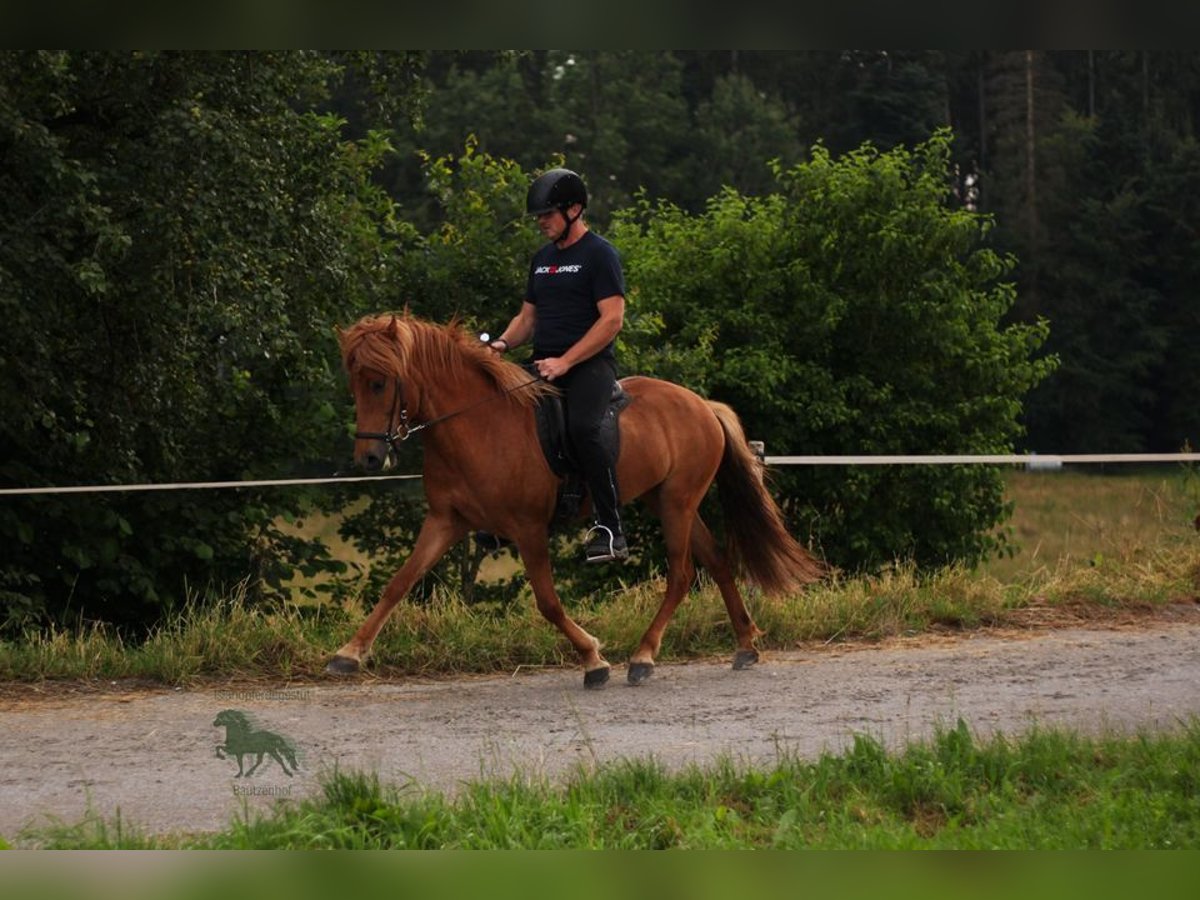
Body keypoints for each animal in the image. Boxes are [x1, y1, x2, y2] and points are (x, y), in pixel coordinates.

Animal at [326, 314, 825, 686]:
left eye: (380, 383)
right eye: (355, 384)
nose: (368, 457)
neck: (477, 425)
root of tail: (703, 404)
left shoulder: (528, 528)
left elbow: (548, 602)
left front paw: (593, 659)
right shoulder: (445, 521)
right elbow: (399, 583)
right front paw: (348, 653)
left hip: (678, 502)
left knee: (682, 574)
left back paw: (643, 657)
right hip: (666, 500)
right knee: (718, 562)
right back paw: (745, 645)